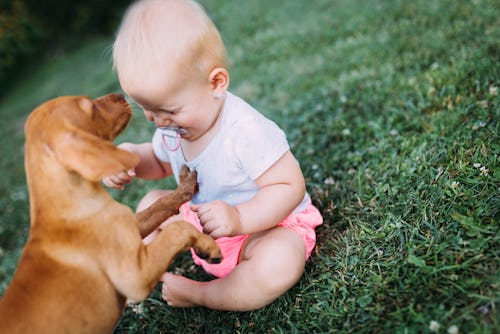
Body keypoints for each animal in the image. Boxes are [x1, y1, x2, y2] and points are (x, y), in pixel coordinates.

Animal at [0, 94, 221, 334]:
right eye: (90, 107)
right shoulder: (135, 276)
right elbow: (177, 229)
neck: (67, 208)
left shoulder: (131, 227)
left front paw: (184, 186)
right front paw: (208, 245)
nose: (120, 95)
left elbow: (160, 205)